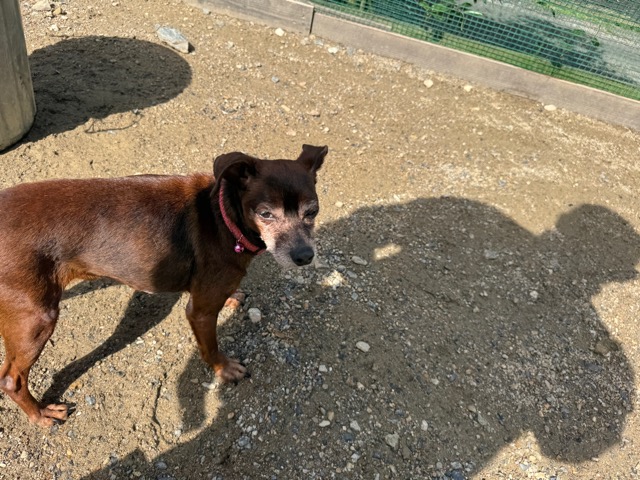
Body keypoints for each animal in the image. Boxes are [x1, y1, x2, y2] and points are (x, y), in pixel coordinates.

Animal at [0, 144, 328, 427]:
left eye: (312, 211)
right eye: (265, 213)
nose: (304, 256)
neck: (223, 217)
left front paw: (233, 296)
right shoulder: (200, 311)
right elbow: (211, 348)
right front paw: (225, 369)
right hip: (37, 318)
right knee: (11, 379)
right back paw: (40, 414)